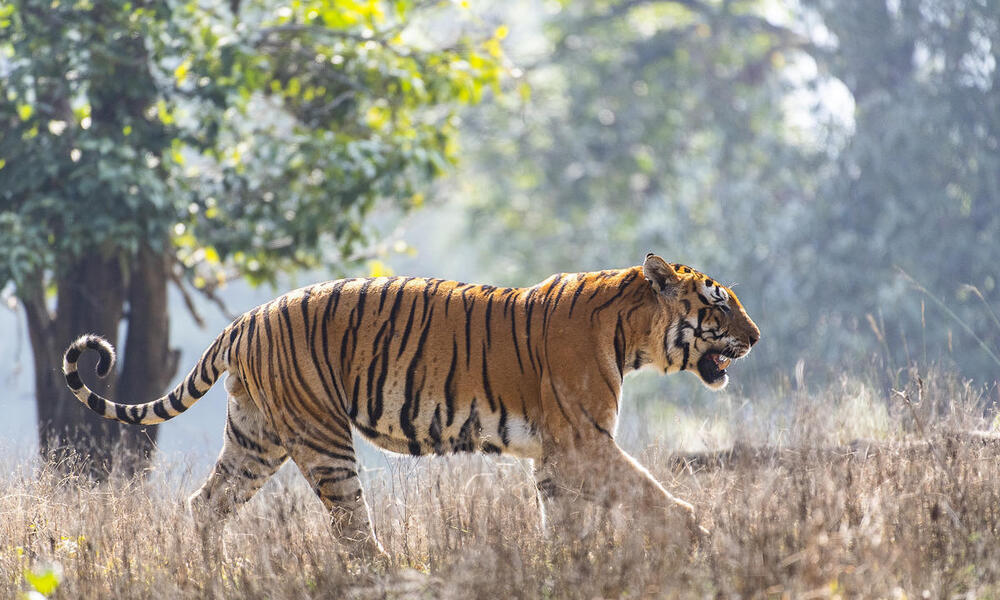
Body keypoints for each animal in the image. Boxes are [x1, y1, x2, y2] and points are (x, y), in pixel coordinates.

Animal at [62, 253, 756, 556]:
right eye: (718, 302)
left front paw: (569, 571)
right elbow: (653, 495)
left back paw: (214, 576)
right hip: (323, 441)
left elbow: (565, 526)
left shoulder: (557, 459)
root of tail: (248, 316)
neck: (631, 333)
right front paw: (701, 538)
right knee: (353, 534)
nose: (755, 337)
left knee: (206, 506)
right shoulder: (585, 443)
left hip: (254, 438)